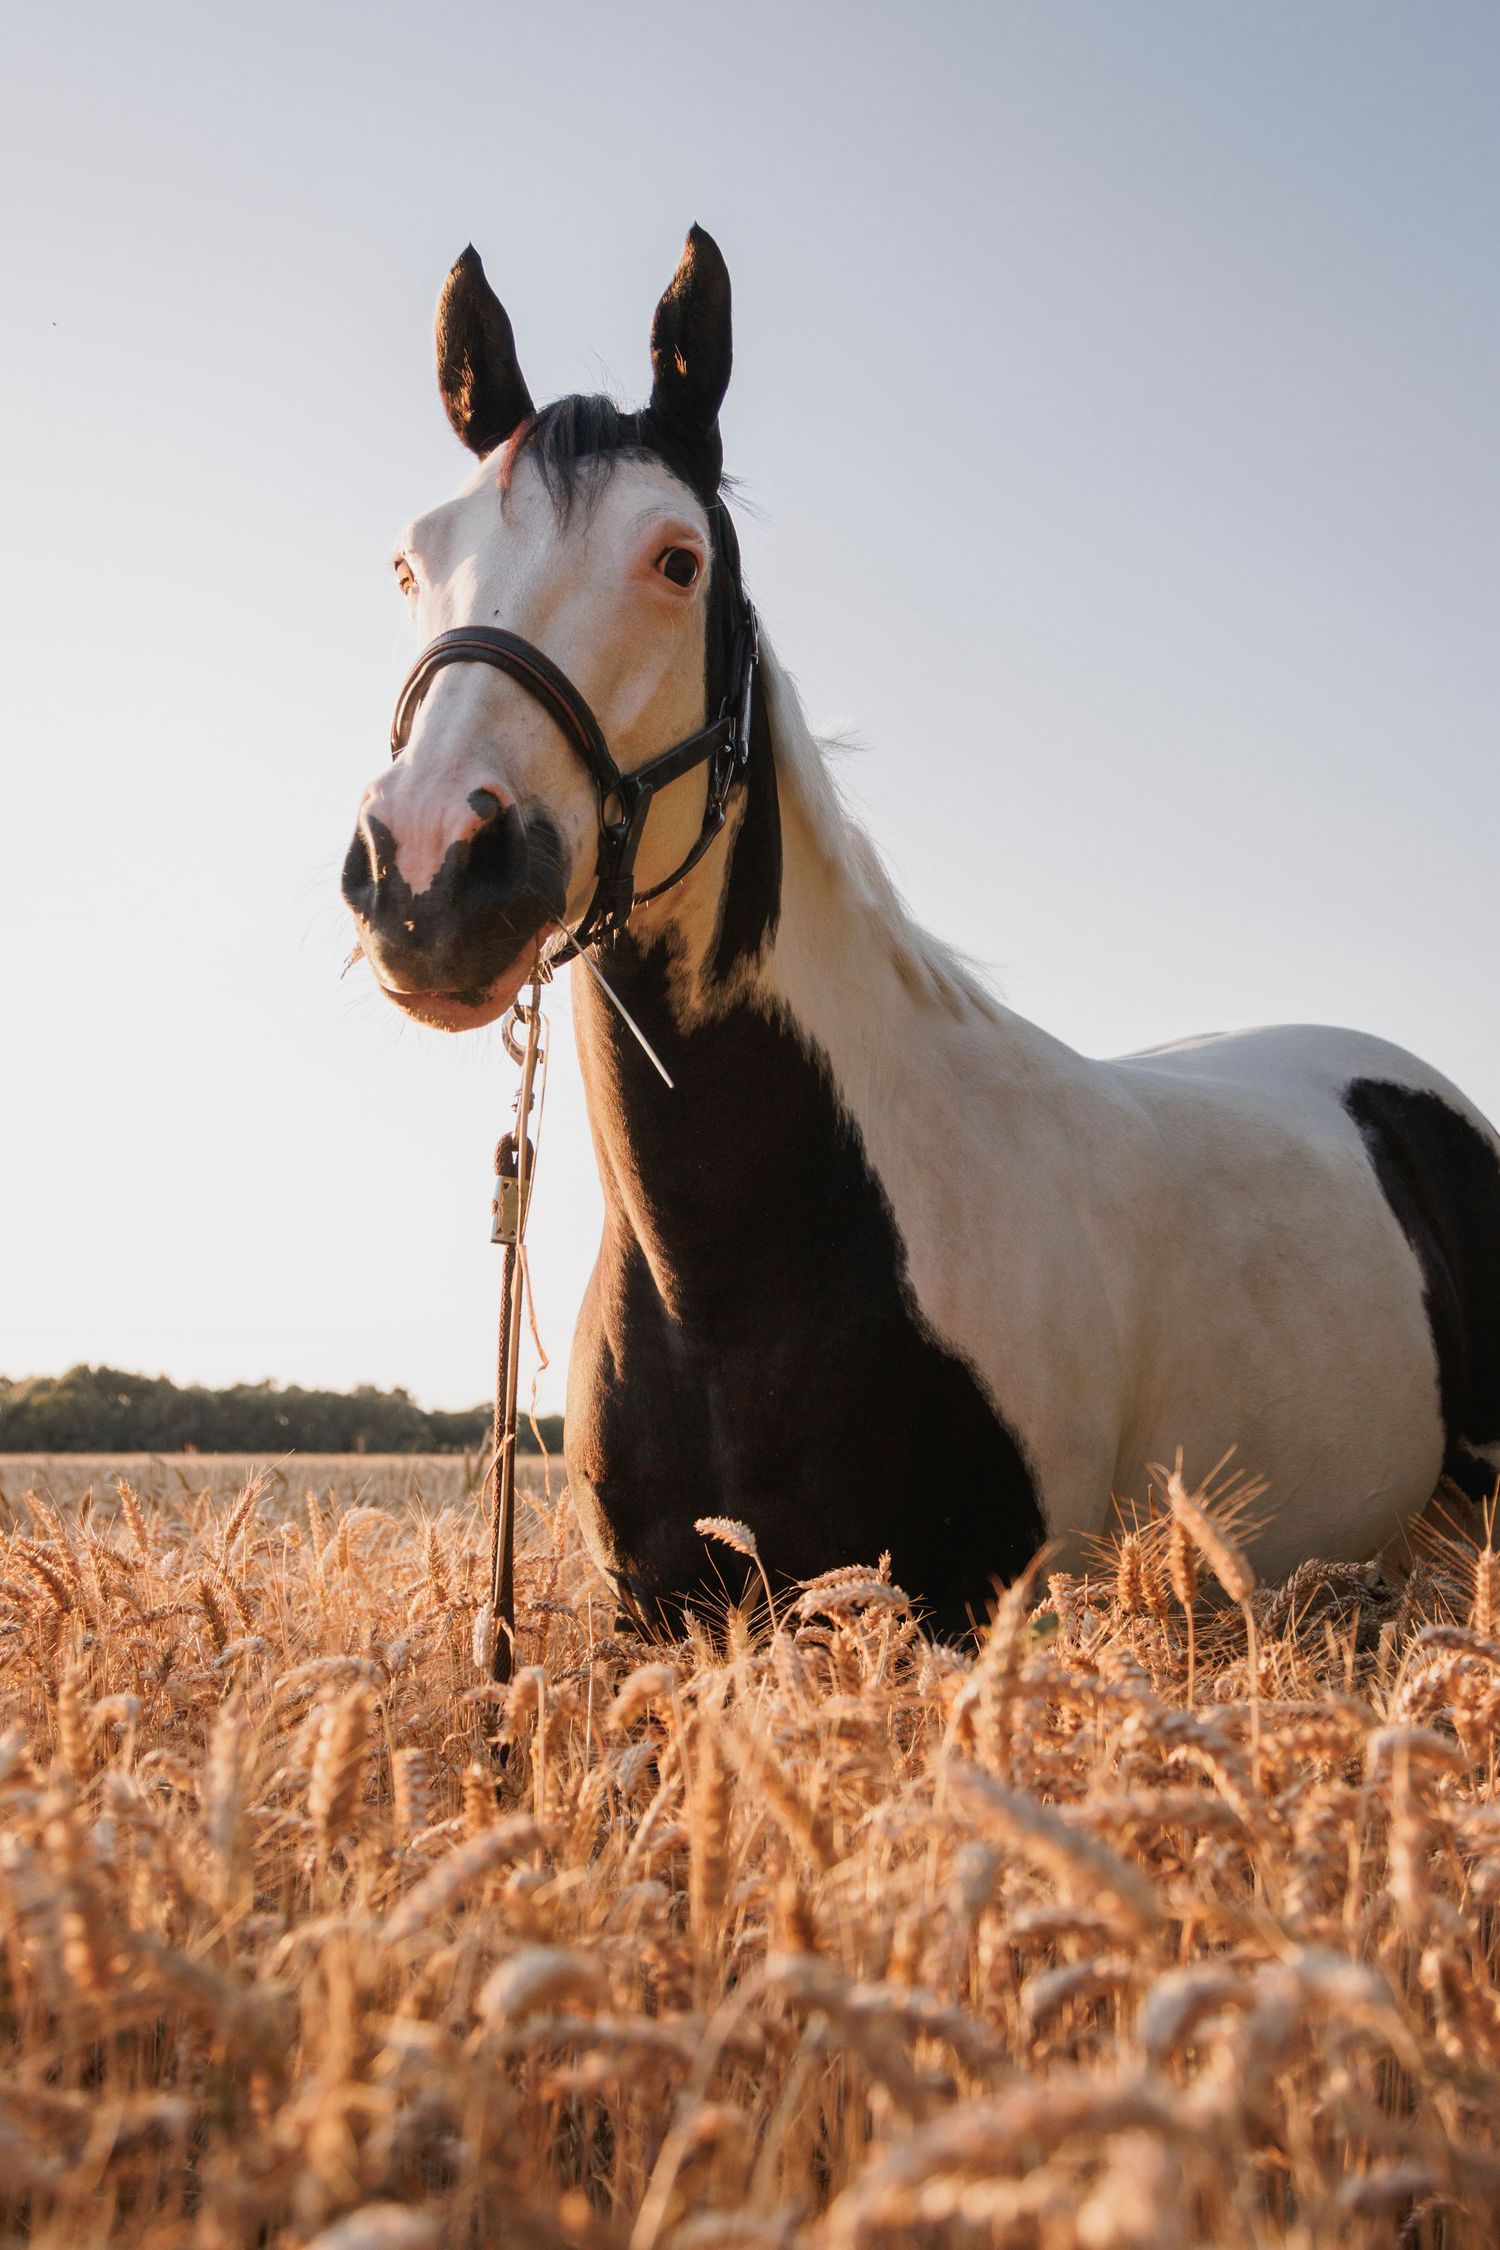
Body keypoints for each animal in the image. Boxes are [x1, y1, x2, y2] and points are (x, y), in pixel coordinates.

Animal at [343, 226, 1500, 1636]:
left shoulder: (956, 1614)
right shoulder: (663, 1622)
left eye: (677, 559)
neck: (759, 1260)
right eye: (412, 560)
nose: (428, 870)